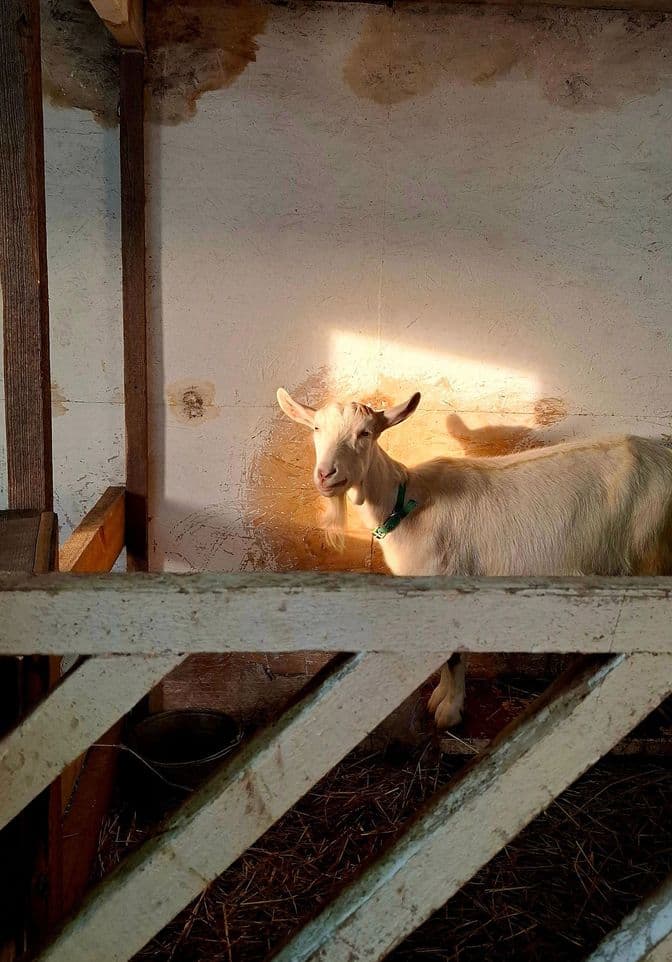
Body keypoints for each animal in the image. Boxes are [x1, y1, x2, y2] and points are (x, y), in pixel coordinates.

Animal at [277, 388, 672, 729]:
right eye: (316, 428)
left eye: (366, 433)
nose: (326, 475)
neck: (406, 503)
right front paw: (440, 697)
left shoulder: (447, 580)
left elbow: (452, 654)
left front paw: (449, 711)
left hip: (650, 560)